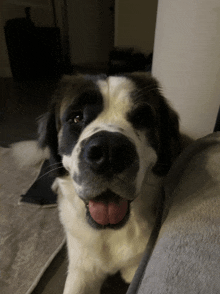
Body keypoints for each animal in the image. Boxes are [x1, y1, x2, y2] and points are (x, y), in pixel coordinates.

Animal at [38, 72, 184, 294]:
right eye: (77, 117)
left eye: (141, 118)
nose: (109, 152)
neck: (108, 233)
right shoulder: (82, 270)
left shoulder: (136, 267)